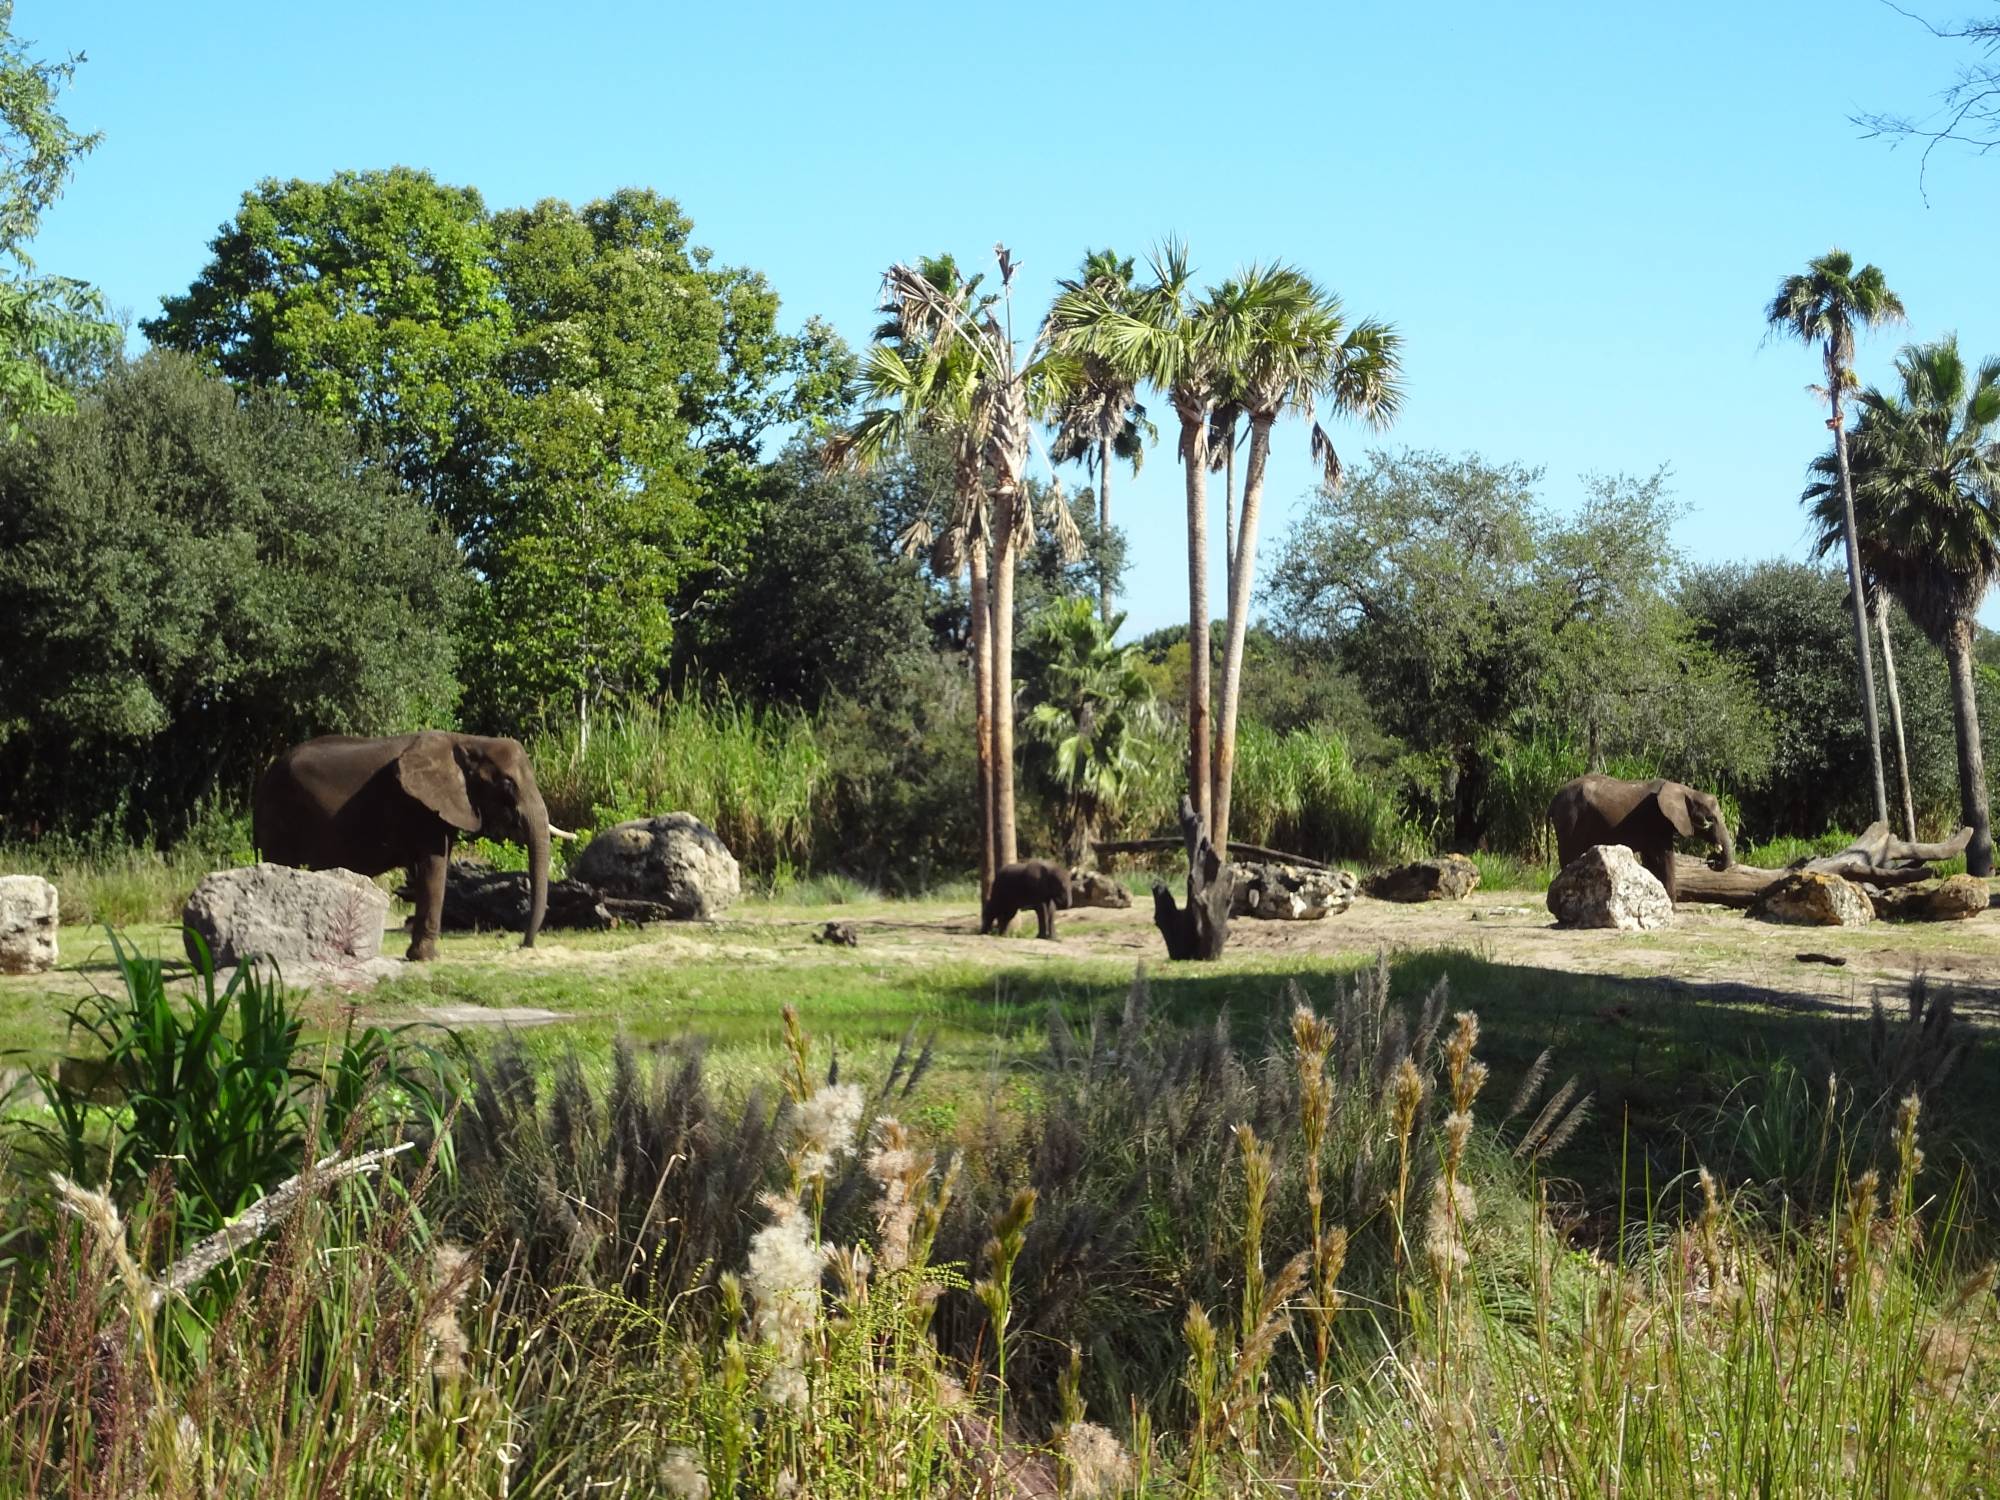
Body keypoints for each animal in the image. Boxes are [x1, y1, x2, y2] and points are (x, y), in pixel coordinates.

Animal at [256, 732, 564, 964]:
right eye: (508, 784)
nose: (522, 946)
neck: (469, 741)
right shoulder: (419, 807)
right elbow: (433, 867)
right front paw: (426, 958)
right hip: (280, 814)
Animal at [1544, 776, 1736, 904]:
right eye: (1710, 819)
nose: (1711, 859)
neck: (1685, 791)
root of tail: (1553, 799)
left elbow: (1651, 861)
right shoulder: (1657, 820)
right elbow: (1664, 858)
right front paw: (1671, 908)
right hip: (1570, 820)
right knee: (1569, 856)